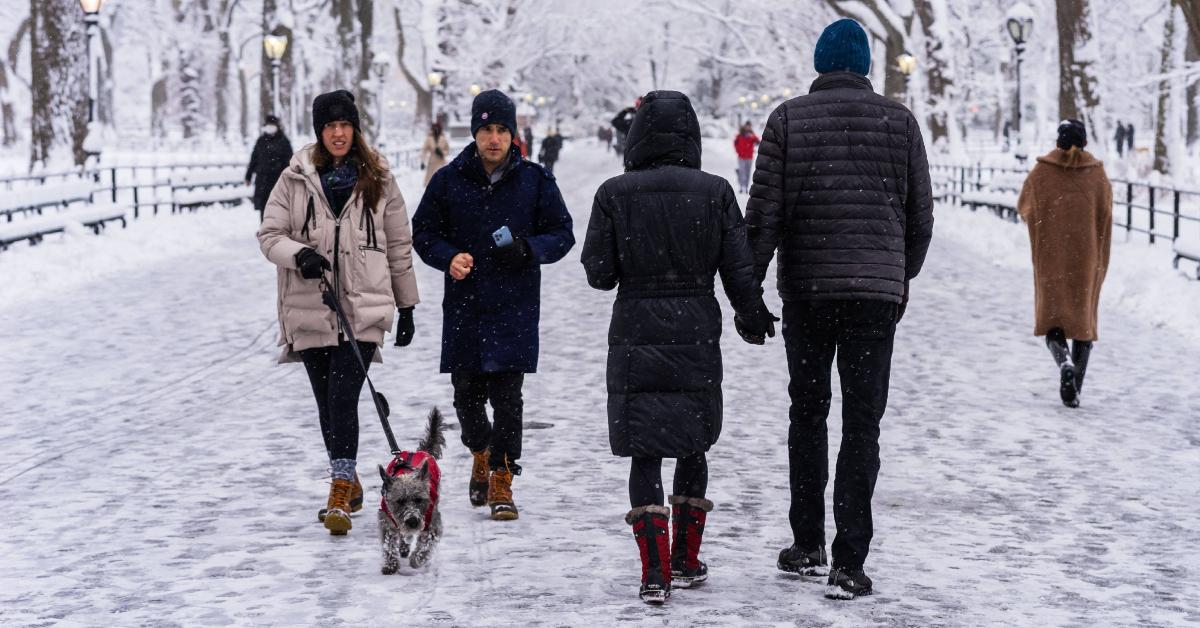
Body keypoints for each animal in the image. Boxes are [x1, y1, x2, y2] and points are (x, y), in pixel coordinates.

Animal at [374, 408, 446, 573]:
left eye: (419, 499)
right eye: (400, 501)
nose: (412, 522)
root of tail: (421, 451)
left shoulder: (432, 523)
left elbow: (425, 545)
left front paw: (417, 560)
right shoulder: (387, 520)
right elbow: (388, 543)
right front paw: (390, 565)